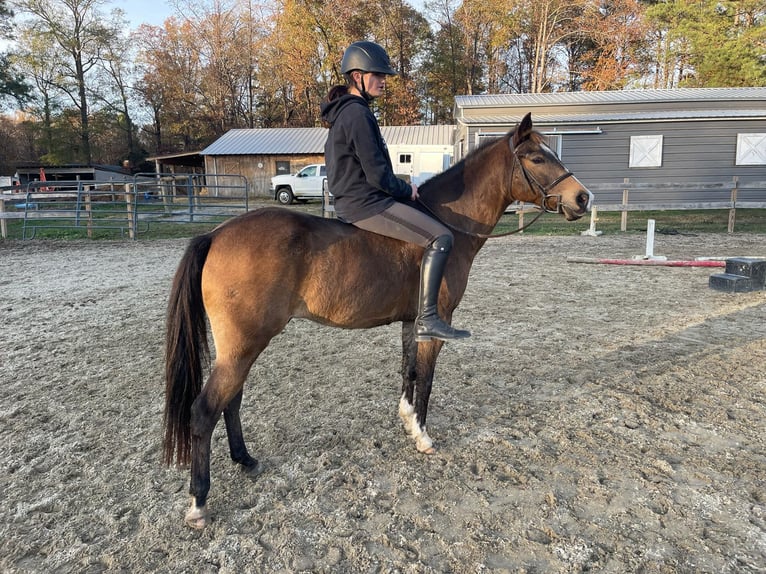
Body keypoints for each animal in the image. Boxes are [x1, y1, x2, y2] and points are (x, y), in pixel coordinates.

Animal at [162, 113, 592, 532]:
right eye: (536, 158)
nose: (583, 198)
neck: (448, 224)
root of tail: (216, 234)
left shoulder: (411, 322)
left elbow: (409, 371)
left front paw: (407, 421)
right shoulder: (436, 326)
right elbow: (427, 378)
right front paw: (423, 436)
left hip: (239, 347)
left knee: (231, 401)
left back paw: (245, 460)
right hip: (244, 344)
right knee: (205, 411)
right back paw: (199, 503)